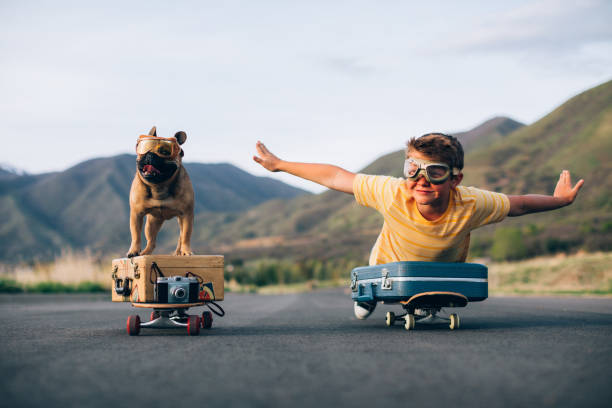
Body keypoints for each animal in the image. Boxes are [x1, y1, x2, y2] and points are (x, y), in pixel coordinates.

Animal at [127, 126, 196, 256]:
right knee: (151, 241)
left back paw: (178, 252)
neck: (159, 186)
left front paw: (186, 251)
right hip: (151, 223)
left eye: (165, 152)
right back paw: (144, 253)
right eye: (144, 148)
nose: (149, 154)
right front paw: (133, 250)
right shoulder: (136, 214)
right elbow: (135, 235)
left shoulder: (186, 215)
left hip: (179, 220)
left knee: (181, 237)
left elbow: (186, 236)